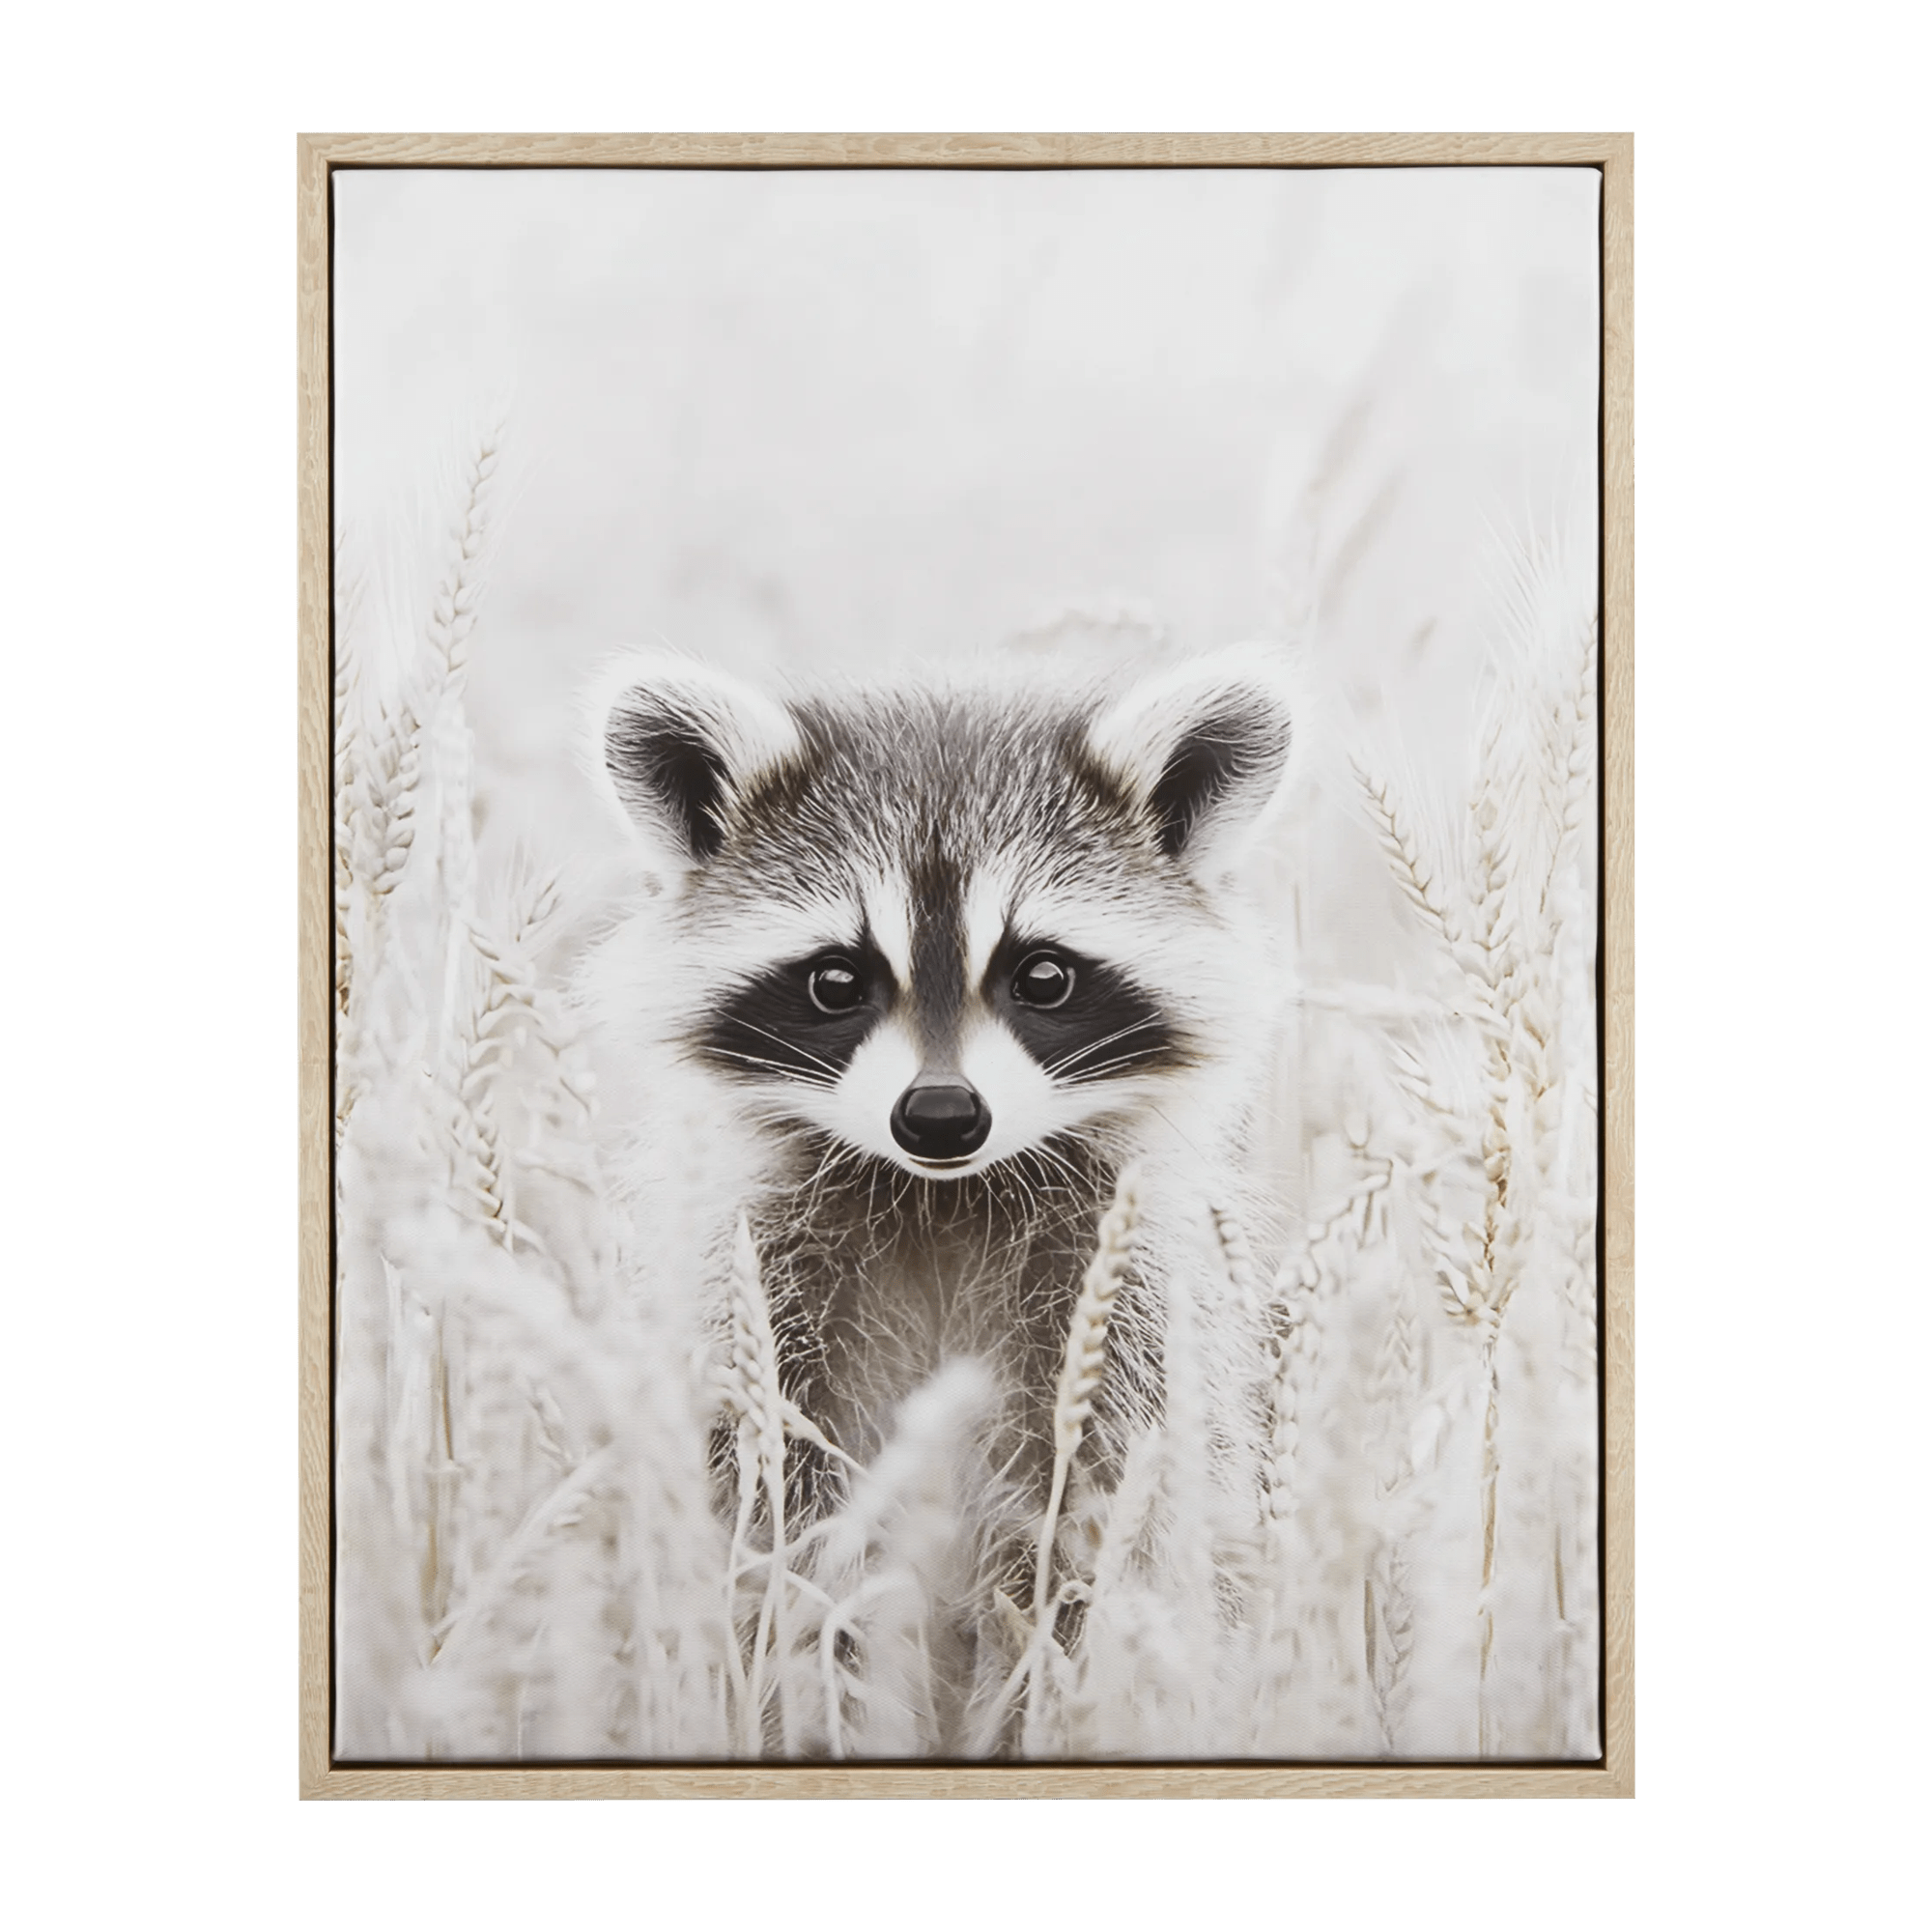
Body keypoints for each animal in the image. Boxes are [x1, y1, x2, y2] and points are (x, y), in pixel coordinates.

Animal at [584, 646, 1296, 1543]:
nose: (941, 1116)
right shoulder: (747, 1286)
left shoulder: (1130, 1302)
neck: (940, 1197)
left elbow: (1128, 1496)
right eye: (836, 982)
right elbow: (750, 1481)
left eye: (1044, 977)